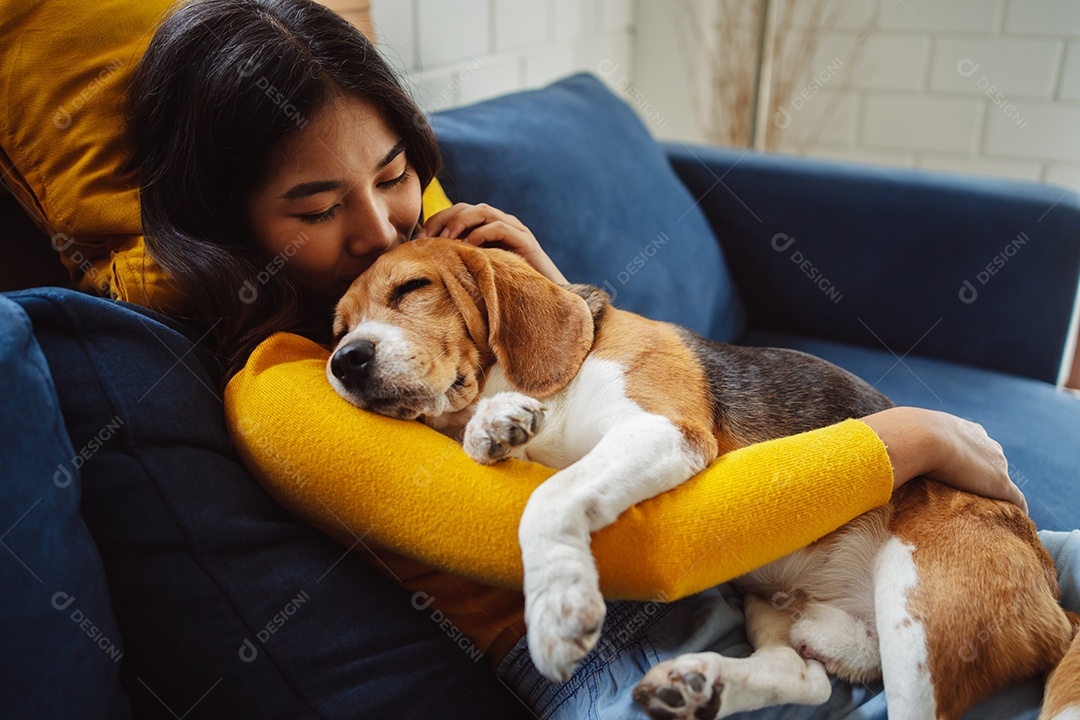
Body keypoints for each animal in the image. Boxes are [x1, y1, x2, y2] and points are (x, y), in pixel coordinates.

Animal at [328, 240, 1080, 720]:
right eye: (336, 328)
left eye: (412, 289)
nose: (344, 362)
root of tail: (1052, 599)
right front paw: (496, 425)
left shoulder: (664, 432)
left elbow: (548, 495)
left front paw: (558, 607)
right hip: (774, 600)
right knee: (805, 677)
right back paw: (702, 684)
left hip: (918, 612)